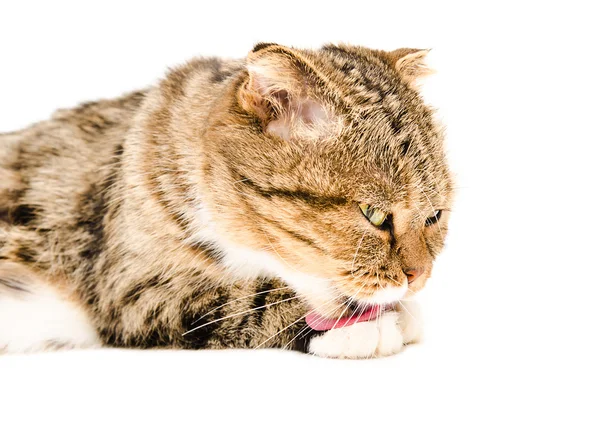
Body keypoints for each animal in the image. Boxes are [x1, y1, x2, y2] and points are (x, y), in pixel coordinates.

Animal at [0, 42, 450, 358]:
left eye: (434, 216)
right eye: (373, 214)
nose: (417, 277)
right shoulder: (129, 286)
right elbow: (243, 300)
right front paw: (351, 326)